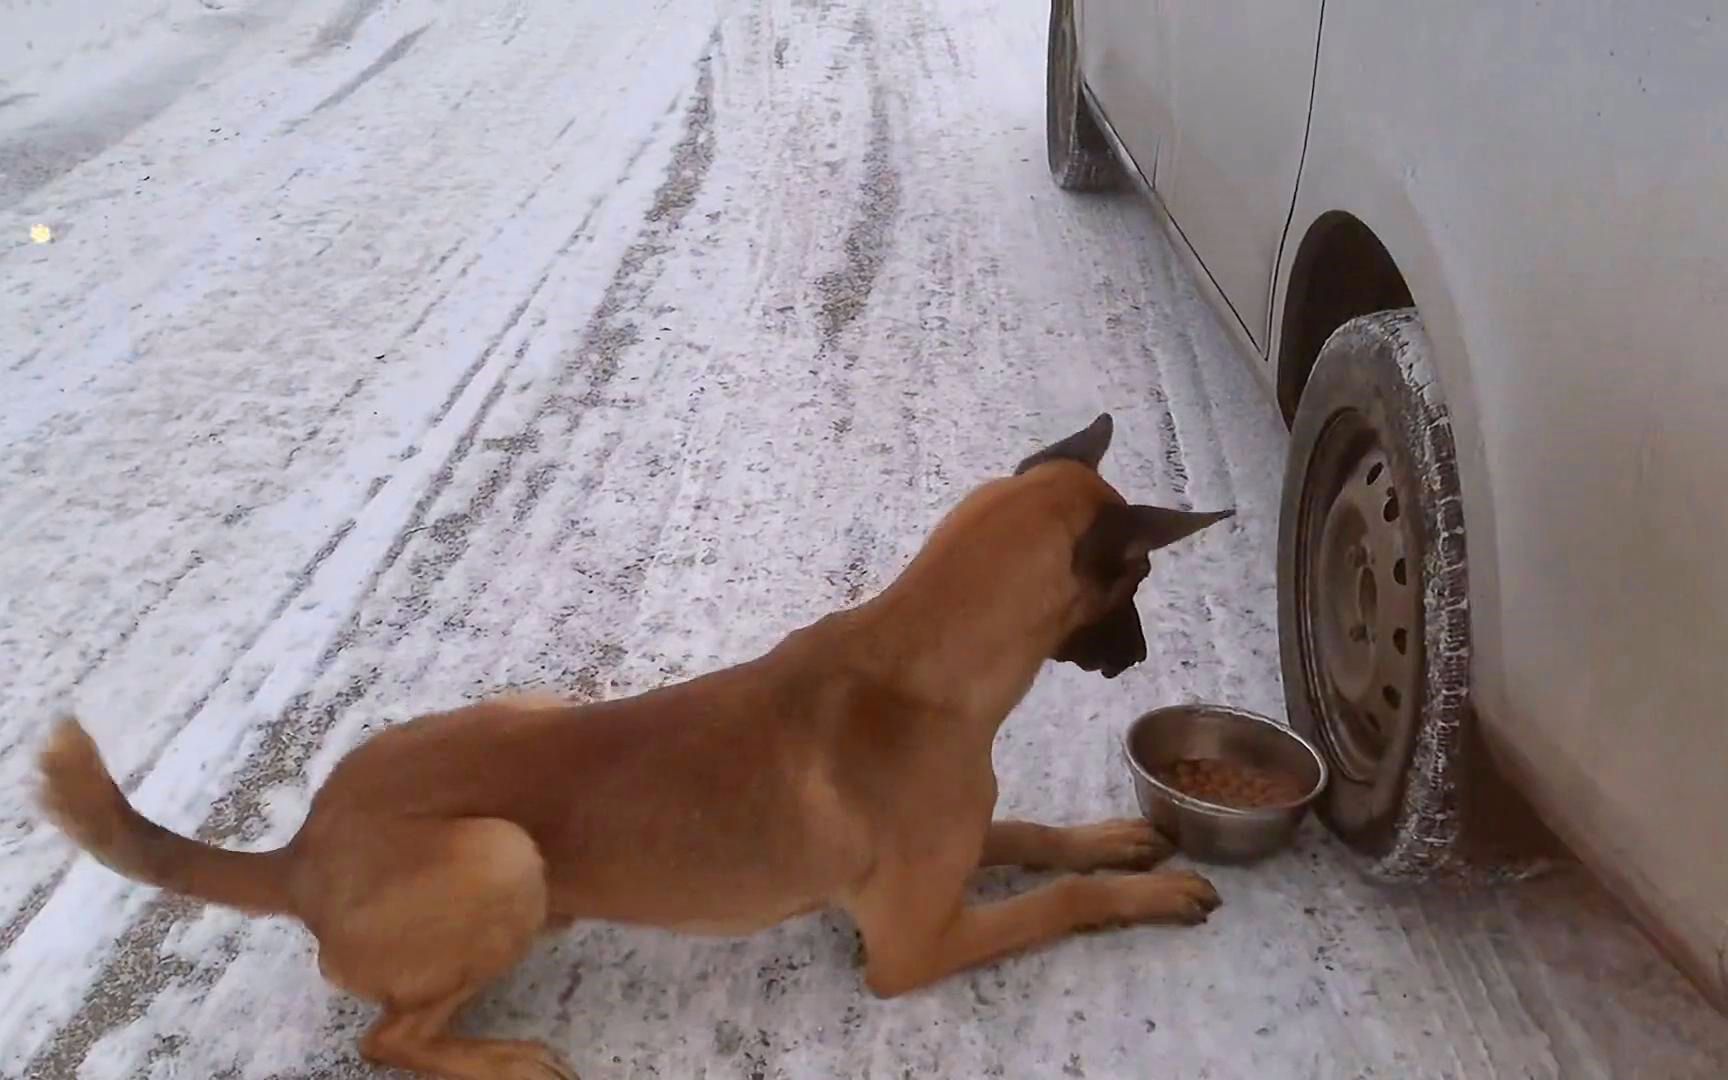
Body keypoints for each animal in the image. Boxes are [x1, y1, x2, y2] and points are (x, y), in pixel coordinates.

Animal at [37, 412, 1230, 1078]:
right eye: (1139, 580)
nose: (1137, 655)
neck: (916, 664)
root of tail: (300, 853)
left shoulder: (954, 851)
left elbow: (1029, 831)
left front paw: (1115, 841)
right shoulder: (910, 946)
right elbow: (1056, 902)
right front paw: (1143, 892)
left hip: (531, 706)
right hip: (500, 857)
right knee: (389, 1040)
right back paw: (503, 1060)